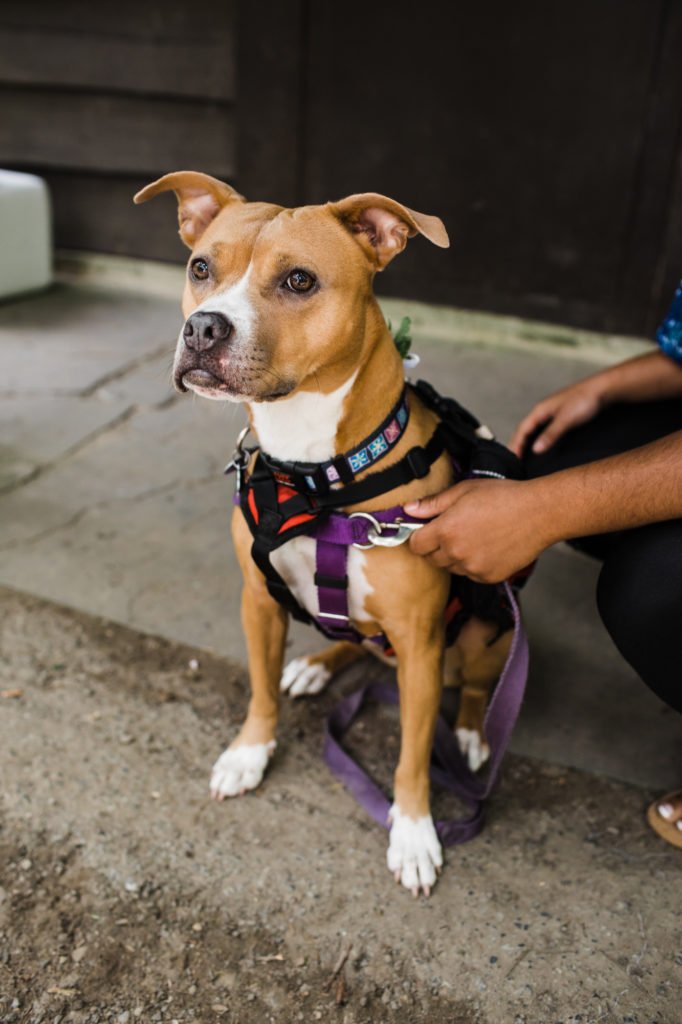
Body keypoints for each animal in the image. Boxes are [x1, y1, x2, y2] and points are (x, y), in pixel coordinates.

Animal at [134, 176, 509, 897]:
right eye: (201, 268)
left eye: (299, 280)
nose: (202, 326)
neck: (315, 474)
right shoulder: (258, 600)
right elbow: (258, 689)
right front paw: (249, 753)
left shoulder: (420, 642)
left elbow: (413, 753)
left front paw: (413, 832)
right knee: (351, 641)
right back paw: (314, 666)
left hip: (484, 626)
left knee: (477, 687)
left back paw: (474, 732)